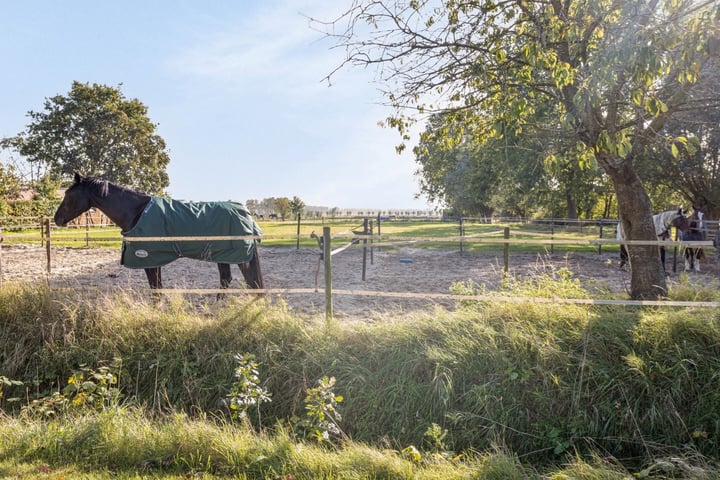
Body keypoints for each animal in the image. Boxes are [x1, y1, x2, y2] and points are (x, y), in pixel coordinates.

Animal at [54, 174, 264, 290]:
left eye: (68, 195)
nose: (57, 219)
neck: (136, 212)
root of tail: (245, 213)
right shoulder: (153, 261)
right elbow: (158, 288)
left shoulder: (149, 260)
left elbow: (156, 289)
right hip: (222, 256)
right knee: (228, 280)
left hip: (237, 257)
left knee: (249, 282)